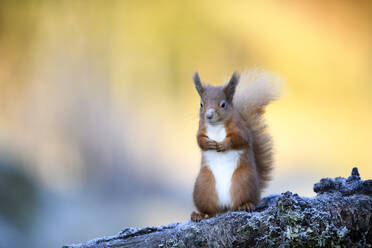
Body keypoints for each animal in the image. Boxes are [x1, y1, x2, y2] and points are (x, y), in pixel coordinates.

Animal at [190, 68, 280, 221]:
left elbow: (239, 139)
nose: (209, 115)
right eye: (201, 104)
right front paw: (208, 144)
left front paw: (223, 145)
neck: (216, 126)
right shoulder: (201, 129)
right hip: (204, 187)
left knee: (242, 201)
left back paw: (246, 205)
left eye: (223, 104)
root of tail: (225, 207)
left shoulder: (241, 129)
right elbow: (199, 140)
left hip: (243, 181)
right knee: (211, 211)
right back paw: (200, 214)